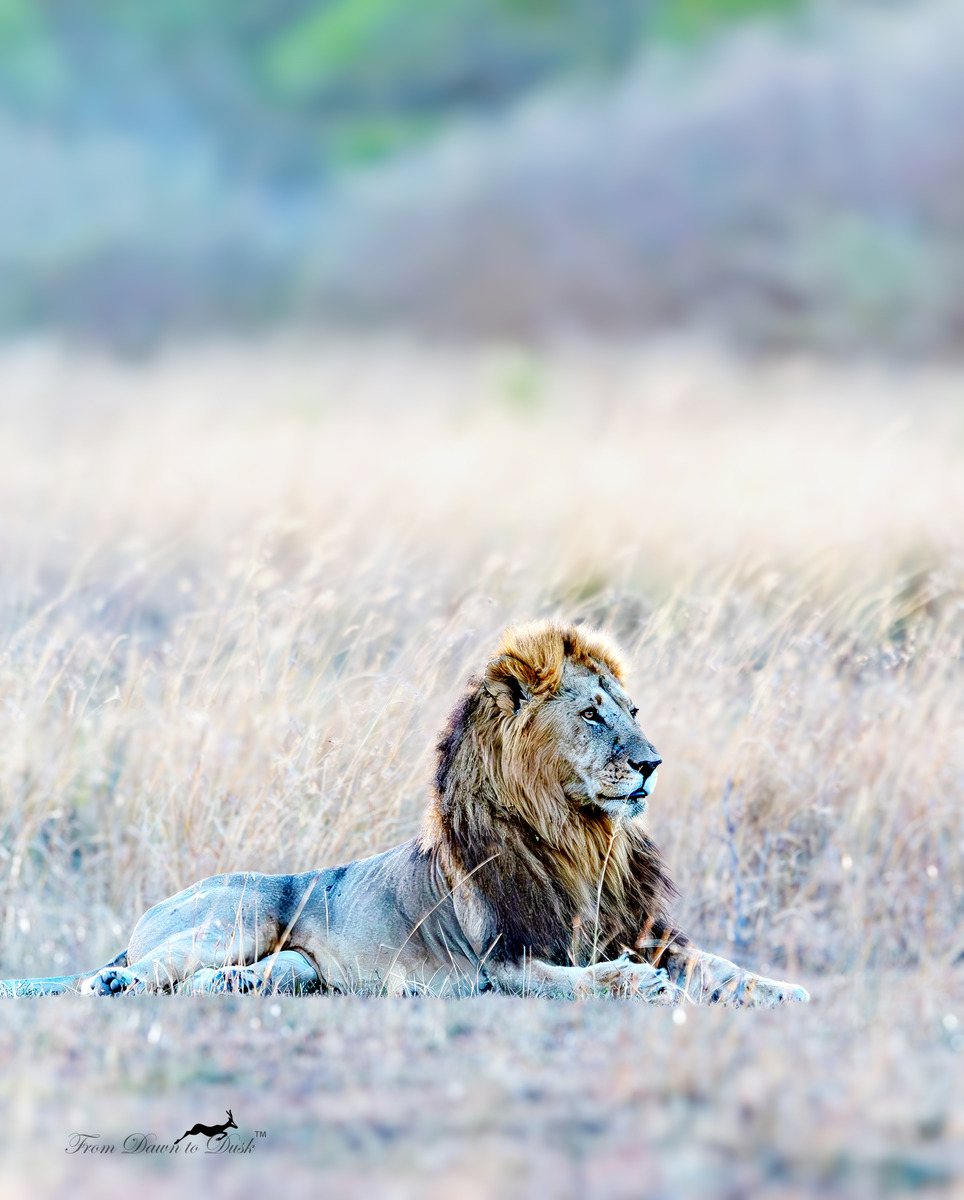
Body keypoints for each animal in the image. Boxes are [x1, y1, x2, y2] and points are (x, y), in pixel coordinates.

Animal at [0, 620, 808, 1006]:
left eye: (633, 712)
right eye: (590, 714)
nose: (651, 763)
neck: (581, 839)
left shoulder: (637, 929)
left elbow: (718, 964)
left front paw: (781, 988)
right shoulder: (497, 964)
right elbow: (569, 980)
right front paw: (631, 985)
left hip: (294, 967)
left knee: (219, 983)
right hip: (235, 915)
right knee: (139, 971)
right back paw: (114, 984)